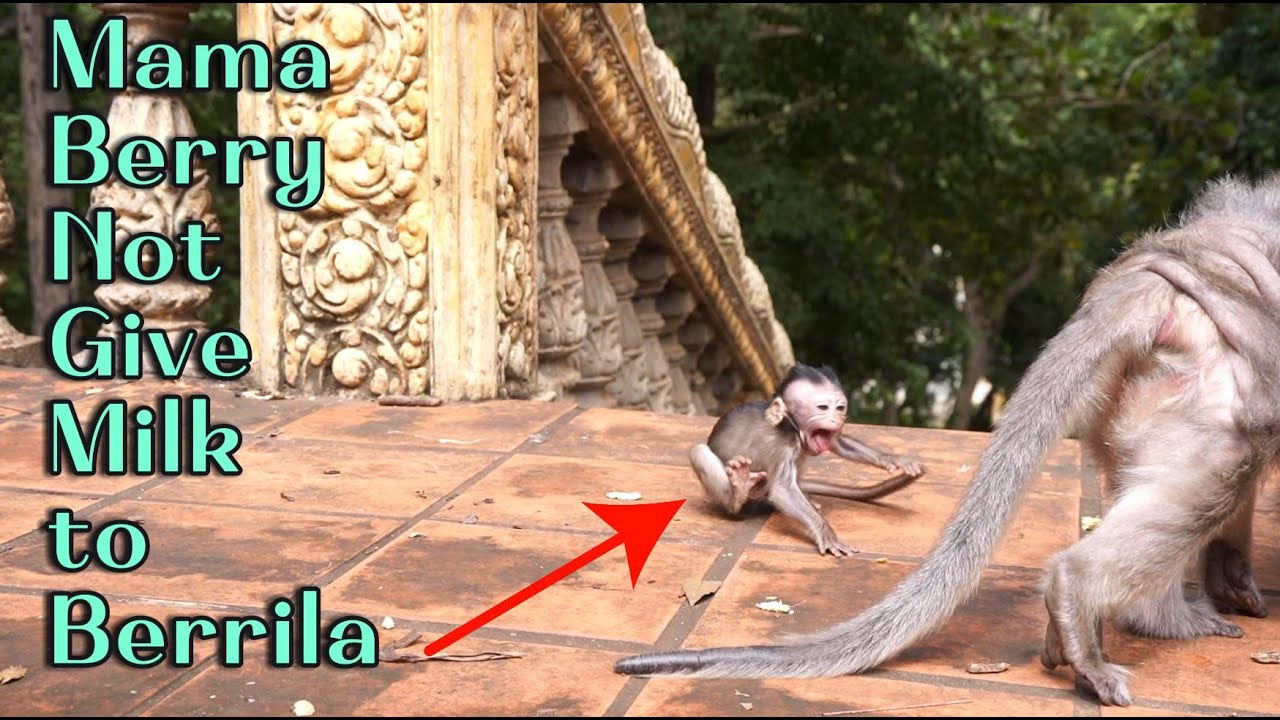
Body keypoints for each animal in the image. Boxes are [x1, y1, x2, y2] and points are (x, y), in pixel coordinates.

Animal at [691, 363, 925, 557]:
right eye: (823, 407)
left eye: (840, 408)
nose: (837, 418)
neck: (792, 427)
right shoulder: (784, 447)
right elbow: (783, 489)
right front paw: (826, 532)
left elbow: (837, 442)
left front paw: (891, 459)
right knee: (699, 451)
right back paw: (737, 493)